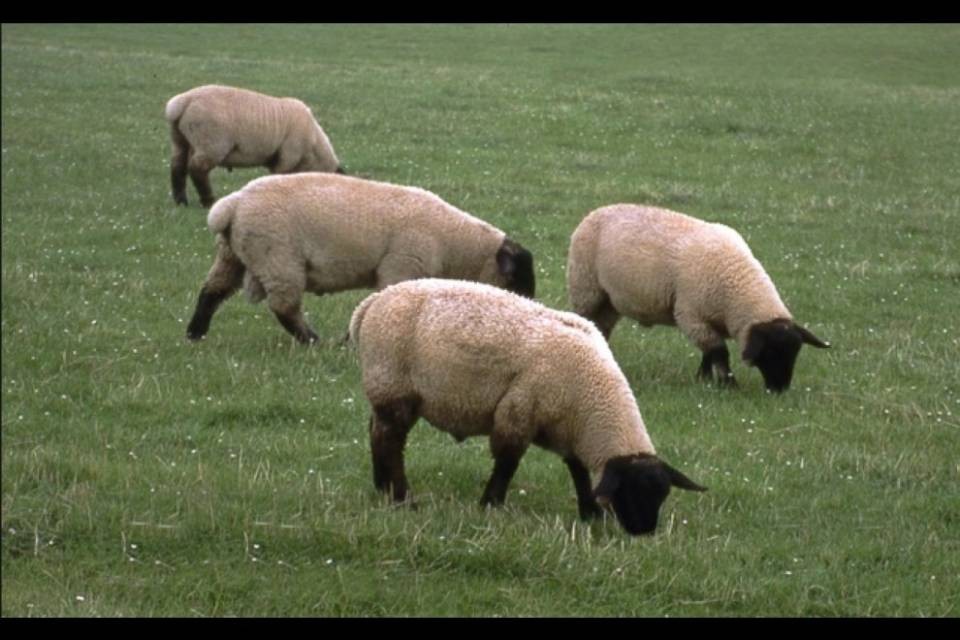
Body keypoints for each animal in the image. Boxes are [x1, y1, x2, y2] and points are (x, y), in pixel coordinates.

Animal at [165, 84, 343, 208]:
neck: (314, 147)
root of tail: (182, 102)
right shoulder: (288, 156)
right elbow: (279, 176)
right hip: (210, 144)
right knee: (198, 170)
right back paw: (209, 201)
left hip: (180, 140)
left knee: (178, 167)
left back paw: (181, 201)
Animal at [186, 173, 535, 344]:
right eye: (517, 281)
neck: (454, 242)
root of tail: (231, 206)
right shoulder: (401, 268)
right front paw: (351, 341)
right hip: (279, 260)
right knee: (284, 307)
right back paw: (313, 341)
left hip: (232, 255)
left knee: (211, 291)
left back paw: (194, 335)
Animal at [349, 278, 706, 536]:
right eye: (632, 492)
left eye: (661, 495)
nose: (643, 533)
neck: (591, 400)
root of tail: (371, 303)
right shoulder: (518, 413)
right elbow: (507, 464)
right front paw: (490, 505)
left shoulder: (565, 428)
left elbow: (578, 470)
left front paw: (590, 514)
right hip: (394, 386)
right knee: (389, 442)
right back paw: (402, 499)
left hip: (389, 392)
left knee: (376, 433)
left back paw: (382, 488)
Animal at [567, 204, 830, 392]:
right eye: (772, 351)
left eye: (795, 353)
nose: (779, 390)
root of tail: (596, 211)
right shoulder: (691, 315)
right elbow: (719, 351)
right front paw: (728, 384)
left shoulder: (707, 320)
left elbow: (708, 352)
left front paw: (704, 378)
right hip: (586, 290)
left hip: (610, 301)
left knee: (601, 328)